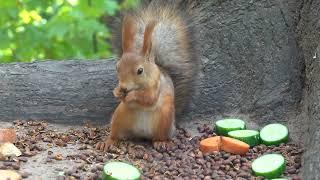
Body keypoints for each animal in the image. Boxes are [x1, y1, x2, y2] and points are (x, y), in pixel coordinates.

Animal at [96, 1, 199, 151]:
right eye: (117, 67)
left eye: (140, 70)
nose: (124, 88)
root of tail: (142, 134)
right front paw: (116, 92)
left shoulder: (157, 86)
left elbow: (149, 98)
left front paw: (131, 96)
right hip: (119, 116)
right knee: (116, 134)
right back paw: (108, 141)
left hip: (164, 118)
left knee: (159, 136)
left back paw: (162, 142)